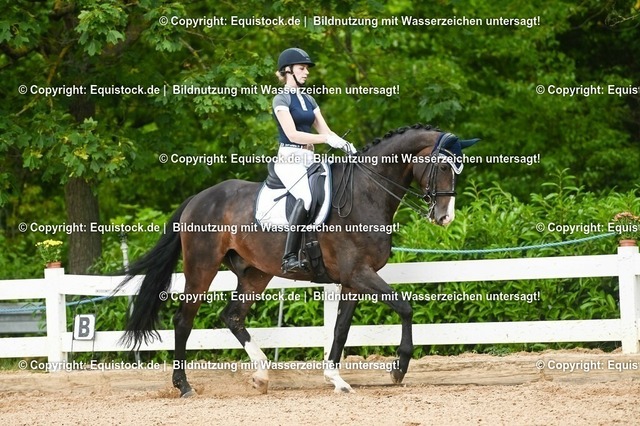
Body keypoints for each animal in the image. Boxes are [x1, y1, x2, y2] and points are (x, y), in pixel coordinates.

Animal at [117, 123, 478, 397]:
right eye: (443, 167)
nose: (444, 217)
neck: (366, 192)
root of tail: (198, 198)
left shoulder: (352, 281)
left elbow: (340, 330)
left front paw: (336, 379)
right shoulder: (359, 274)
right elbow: (405, 307)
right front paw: (399, 369)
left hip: (255, 274)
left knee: (232, 316)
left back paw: (262, 375)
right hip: (201, 267)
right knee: (184, 320)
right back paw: (184, 386)